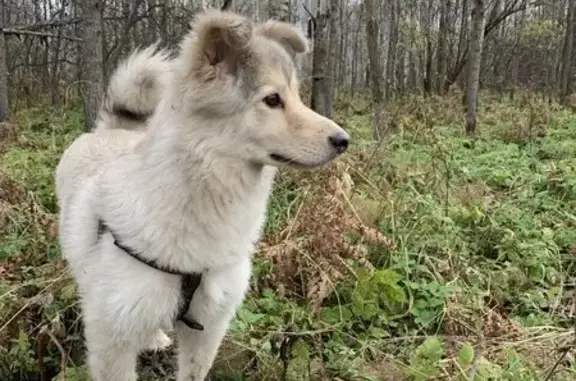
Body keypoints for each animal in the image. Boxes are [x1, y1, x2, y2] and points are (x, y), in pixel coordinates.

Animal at [56, 9, 348, 380]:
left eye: (296, 95)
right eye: (272, 100)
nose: (343, 141)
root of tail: (115, 129)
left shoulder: (208, 326)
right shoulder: (112, 336)